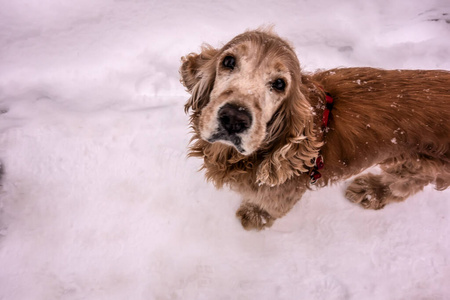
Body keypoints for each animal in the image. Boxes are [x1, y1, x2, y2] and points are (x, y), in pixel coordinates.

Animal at [179, 29, 450, 230]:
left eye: (280, 84)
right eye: (228, 61)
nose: (234, 118)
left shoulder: (281, 192)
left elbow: (271, 205)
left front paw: (255, 215)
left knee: (408, 182)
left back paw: (372, 191)